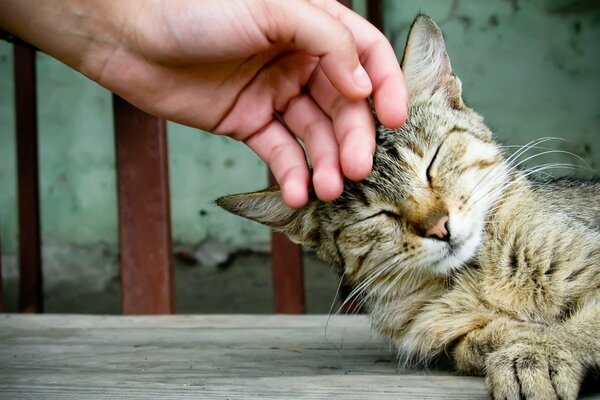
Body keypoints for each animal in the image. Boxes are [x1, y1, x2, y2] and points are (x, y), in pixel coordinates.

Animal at [217, 14, 600, 400]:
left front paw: (542, 352)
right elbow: (474, 341)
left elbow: (587, 320)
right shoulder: (445, 334)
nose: (438, 227)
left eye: (431, 164)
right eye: (378, 214)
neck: (472, 276)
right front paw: (518, 340)